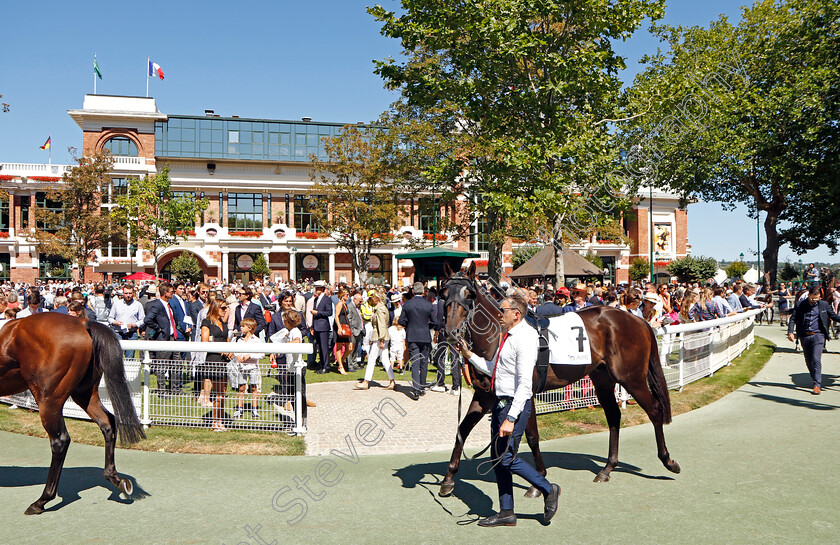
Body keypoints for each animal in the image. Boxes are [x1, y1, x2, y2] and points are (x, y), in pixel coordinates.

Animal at [0, 312, 143, 512]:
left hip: (48, 399)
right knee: (107, 423)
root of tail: (82, 323)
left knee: (60, 440)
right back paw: (114, 478)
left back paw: (41, 501)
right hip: (84, 393)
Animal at [436, 264, 680, 498]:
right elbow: (462, 429)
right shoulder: (484, 395)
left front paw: (538, 482)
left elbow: (532, 436)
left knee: (655, 410)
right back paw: (607, 469)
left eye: (469, 294)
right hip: (603, 379)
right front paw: (448, 479)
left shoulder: (525, 394)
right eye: (444, 292)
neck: (499, 336)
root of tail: (636, 319)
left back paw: (668, 460)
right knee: (613, 416)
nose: (451, 333)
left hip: (632, 378)